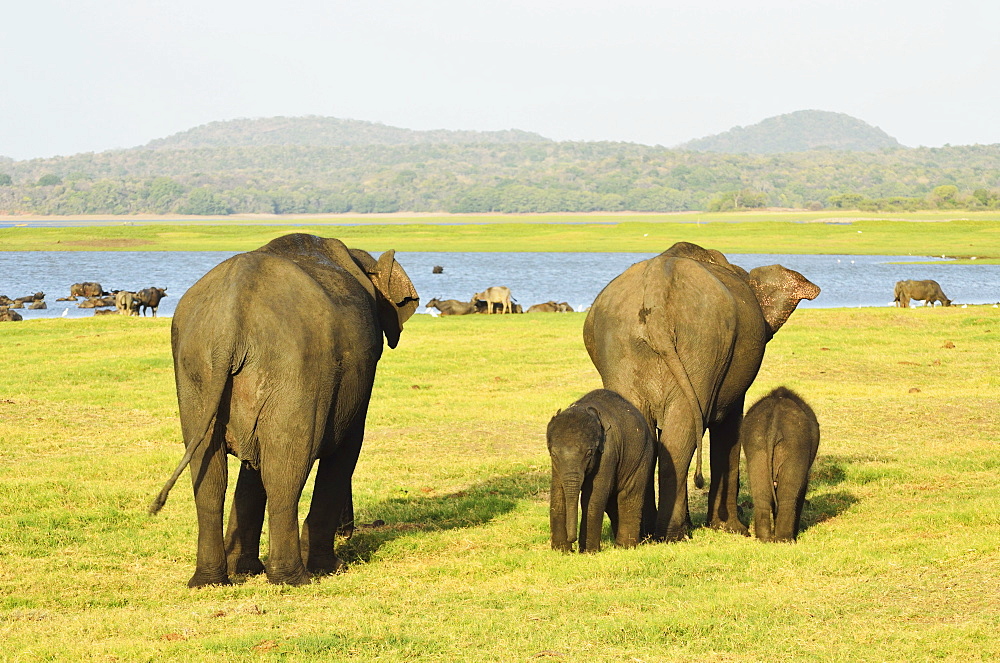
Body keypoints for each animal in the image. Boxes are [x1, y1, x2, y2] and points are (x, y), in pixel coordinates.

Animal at [148, 233, 418, 588]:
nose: (347, 532)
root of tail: (231, 321)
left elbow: (252, 466)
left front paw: (244, 569)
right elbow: (347, 447)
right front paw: (331, 567)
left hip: (195, 368)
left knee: (210, 477)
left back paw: (210, 581)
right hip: (297, 368)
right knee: (285, 471)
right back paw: (294, 579)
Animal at [548, 390, 656, 556]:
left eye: (589, 453)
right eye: (553, 454)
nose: (572, 541)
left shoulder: (608, 452)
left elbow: (593, 497)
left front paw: (588, 552)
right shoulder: (556, 466)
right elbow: (558, 494)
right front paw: (561, 551)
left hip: (643, 456)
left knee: (628, 496)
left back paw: (624, 546)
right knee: (612, 503)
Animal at [744, 386, 820, 544]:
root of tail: (775, 422)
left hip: (755, 446)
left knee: (761, 494)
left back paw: (764, 540)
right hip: (796, 446)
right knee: (788, 496)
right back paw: (785, 540)